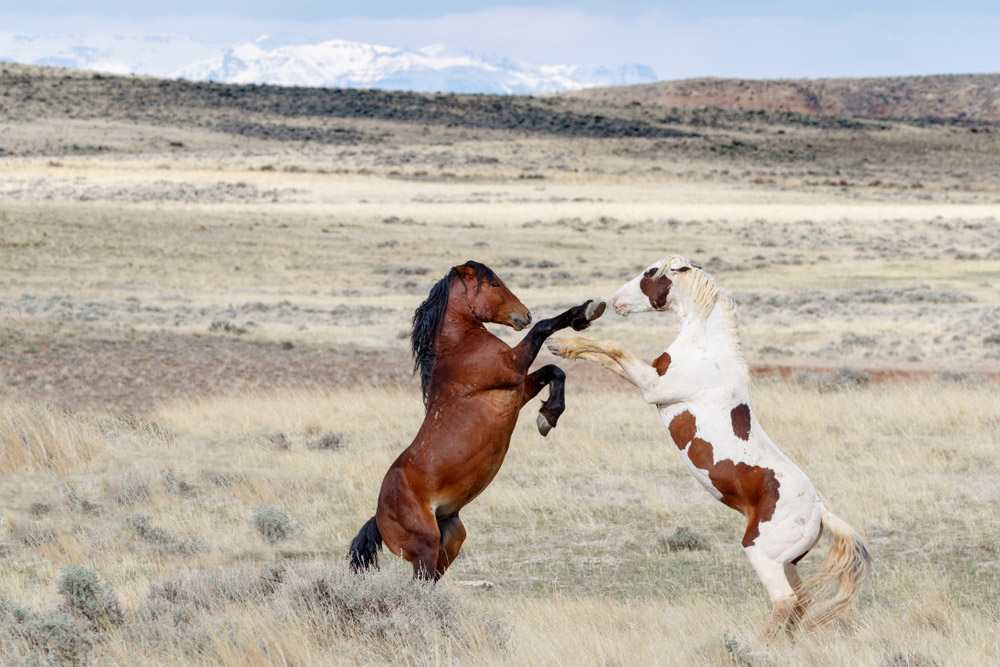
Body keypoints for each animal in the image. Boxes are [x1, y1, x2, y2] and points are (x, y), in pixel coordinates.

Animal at [348, 260, 604, 580]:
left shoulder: (519, 389)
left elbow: (555, 371)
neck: (458, 346)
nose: (525, 315)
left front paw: (548, 416)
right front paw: (584, 312)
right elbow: (544, 329)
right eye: (494, 284)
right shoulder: (512, 367)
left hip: (451, 540)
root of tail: (379, 517)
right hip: (425, 547)